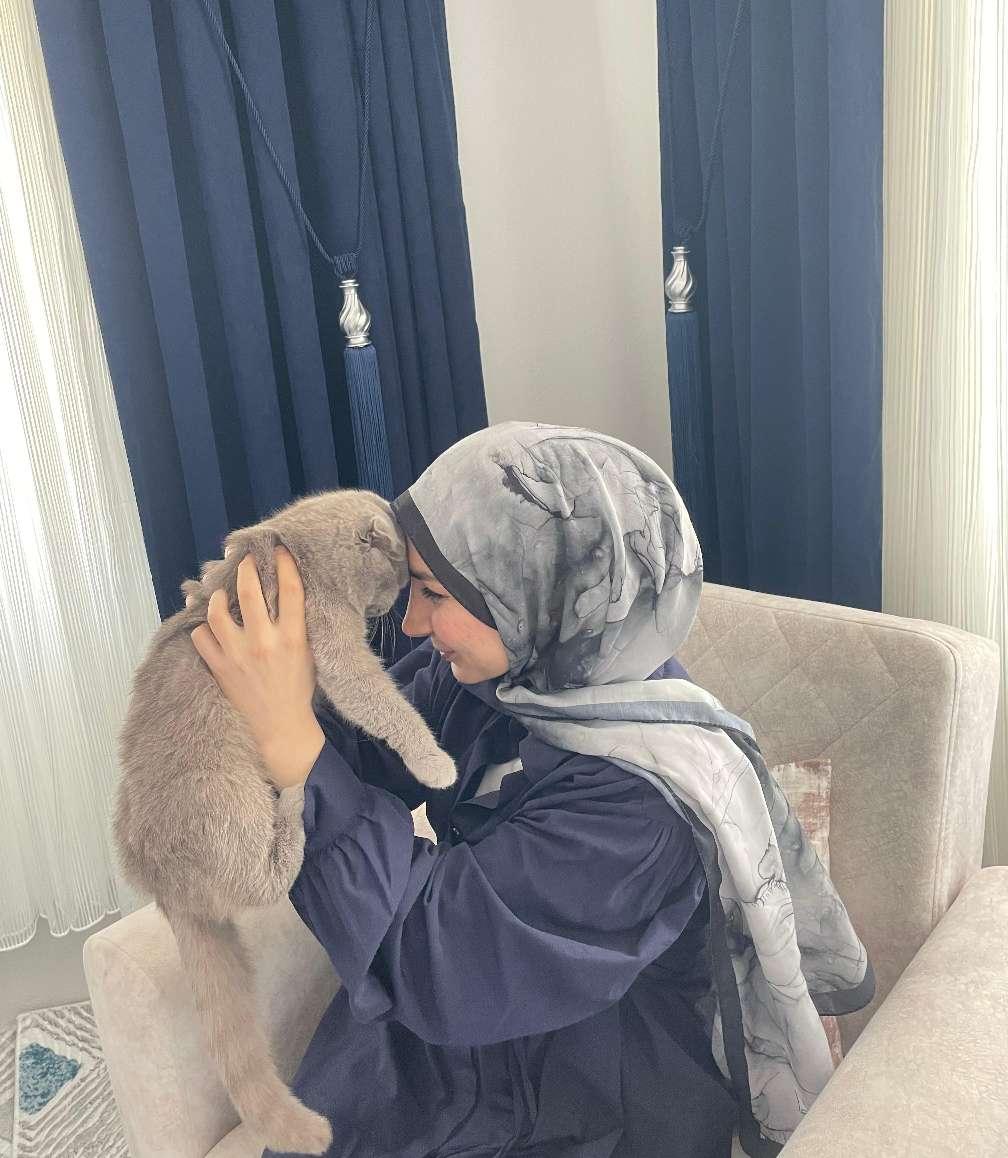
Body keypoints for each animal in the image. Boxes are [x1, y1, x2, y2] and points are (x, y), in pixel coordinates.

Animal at [113, 488, 457, 1156]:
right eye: (401, 579)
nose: (392, 614)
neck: (295, 546)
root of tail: (163, 887)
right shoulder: (333, 640)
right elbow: (383, 702)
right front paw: (436, 763)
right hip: (231, 797)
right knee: (261, 879)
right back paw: (296, 808)